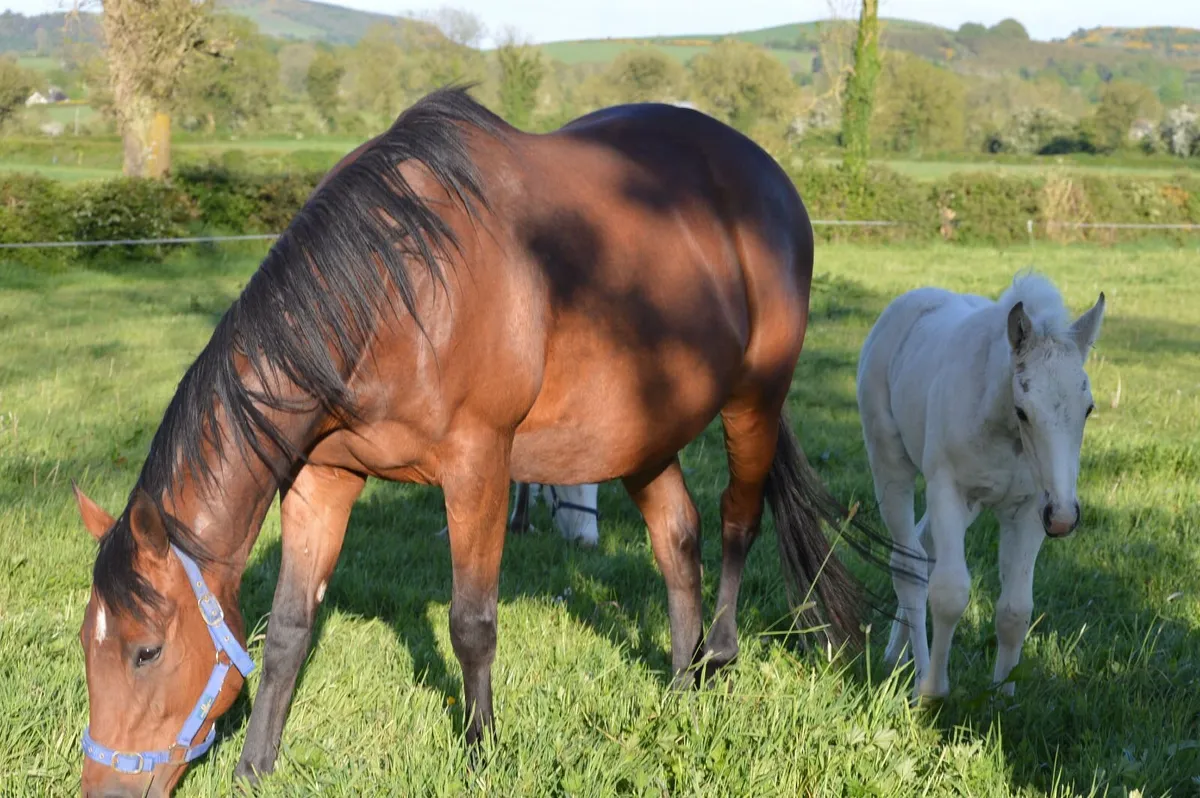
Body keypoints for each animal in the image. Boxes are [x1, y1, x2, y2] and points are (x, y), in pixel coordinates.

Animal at [70, 87, 891, 797]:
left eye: (146, 650)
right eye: (86, 644)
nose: (105, 791)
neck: (392, 288)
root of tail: (772, 180)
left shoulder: (478, 467)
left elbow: (472, 624)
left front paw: (480, 752)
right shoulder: (321, 477)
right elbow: (290, 629)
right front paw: (255, 766)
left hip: (755, 401)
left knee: (736, 520)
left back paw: (718, 655)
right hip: (645, 432)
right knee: (678, 541)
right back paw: (681, 686)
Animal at [856, 271, 1105, 701]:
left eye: (1087, 409)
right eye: (1023, 410)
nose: (1064, 518)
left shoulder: (1029, 509)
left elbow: (1015, 608)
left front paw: (1002, 696)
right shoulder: (947, 490)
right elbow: (950, 592)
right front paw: (932, 691)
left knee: (923, 547)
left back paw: (895, 654)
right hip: (889, 464)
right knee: (908, 562)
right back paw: (914, 669)